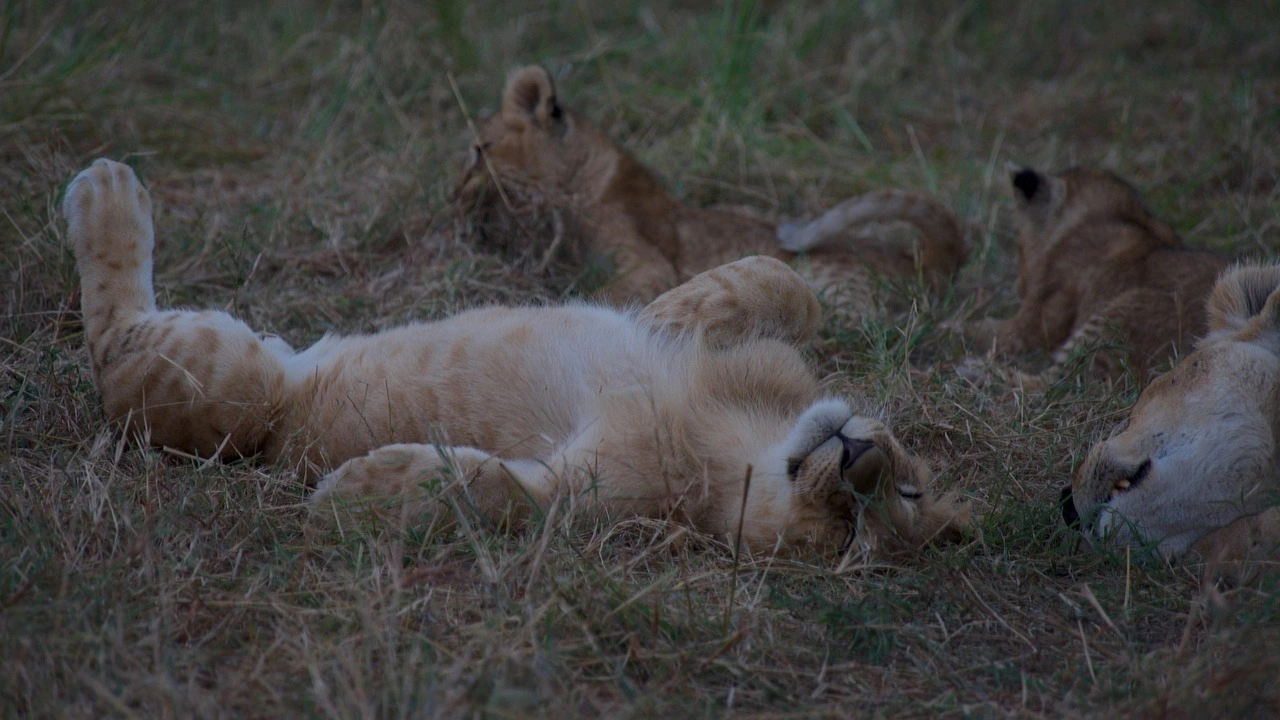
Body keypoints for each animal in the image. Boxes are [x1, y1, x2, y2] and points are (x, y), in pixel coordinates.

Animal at [63, 158, 969, 557]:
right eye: (908, 486)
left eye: (857, 529)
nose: (857, 457)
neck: (740, 440)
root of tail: (280, 421)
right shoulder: (779, 365)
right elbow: (786, 286)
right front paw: (664, 314)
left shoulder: (596, 496)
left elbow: (498, 495)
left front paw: (357, 493)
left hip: (230, 388)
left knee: (114, 347)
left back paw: (106, 194)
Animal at [458, 65, 967, 309]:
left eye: (481, 148)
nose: (454, 193)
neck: (586, 176)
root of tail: (925, 262)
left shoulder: (652, 265)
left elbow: (606, 292)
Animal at [969, 165, 1229, 386]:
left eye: (1020, 249)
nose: (1019, 286)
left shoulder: (1034, 326)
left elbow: (986, 332)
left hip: (1112, 322)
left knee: (1049, 385)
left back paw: (976, 372)